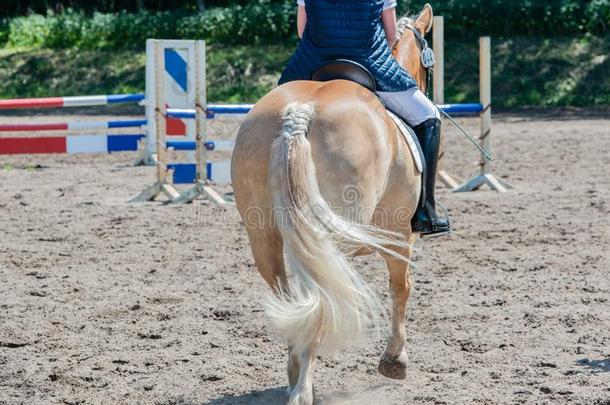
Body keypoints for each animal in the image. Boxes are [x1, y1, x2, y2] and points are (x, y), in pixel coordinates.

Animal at [230, 3, 434, 404]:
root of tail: (300, 112)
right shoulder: (400, 234)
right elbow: (401, 288)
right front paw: (395, 361)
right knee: (322, 298)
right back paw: (303, 389)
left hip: (266, 237)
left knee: (291, 297)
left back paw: (296, 374)